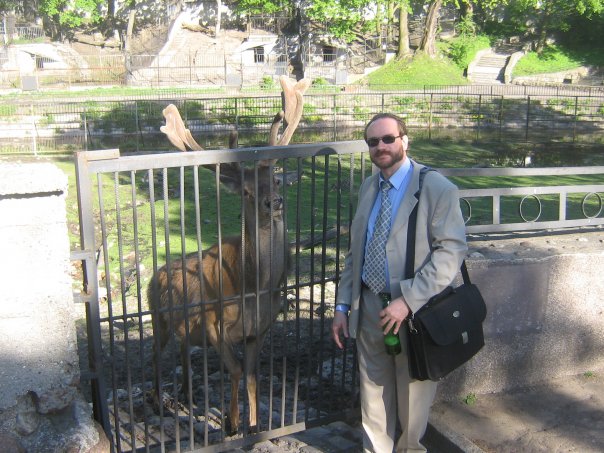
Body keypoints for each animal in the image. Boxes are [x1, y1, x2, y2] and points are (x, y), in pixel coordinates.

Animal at [148, 75, 310, 434]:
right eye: (247, 192)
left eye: (276, 179)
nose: (273, 202)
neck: (254, 287)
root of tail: (155, 273)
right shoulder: (211, 321)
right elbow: (234, 370)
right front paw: (231, 423)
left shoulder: (260, 329)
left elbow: (251, 375)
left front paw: (254, 424)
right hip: (157, 316)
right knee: (156, 356)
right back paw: (156, 404)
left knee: (183, 351)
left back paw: (184, 394)